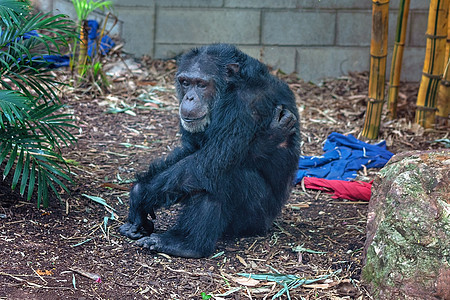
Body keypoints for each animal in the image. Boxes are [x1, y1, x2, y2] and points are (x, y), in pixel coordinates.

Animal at [121, 44, 300, 258]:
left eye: (201, 84)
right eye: (185, 82)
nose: (189, 97)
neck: (230, 90)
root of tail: (270, 223)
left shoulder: (246, 105)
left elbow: (212, 159)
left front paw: (140, 196)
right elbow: (193, 150)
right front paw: (138, 197)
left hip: (255, 219)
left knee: (219, 175)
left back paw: (186, 244)